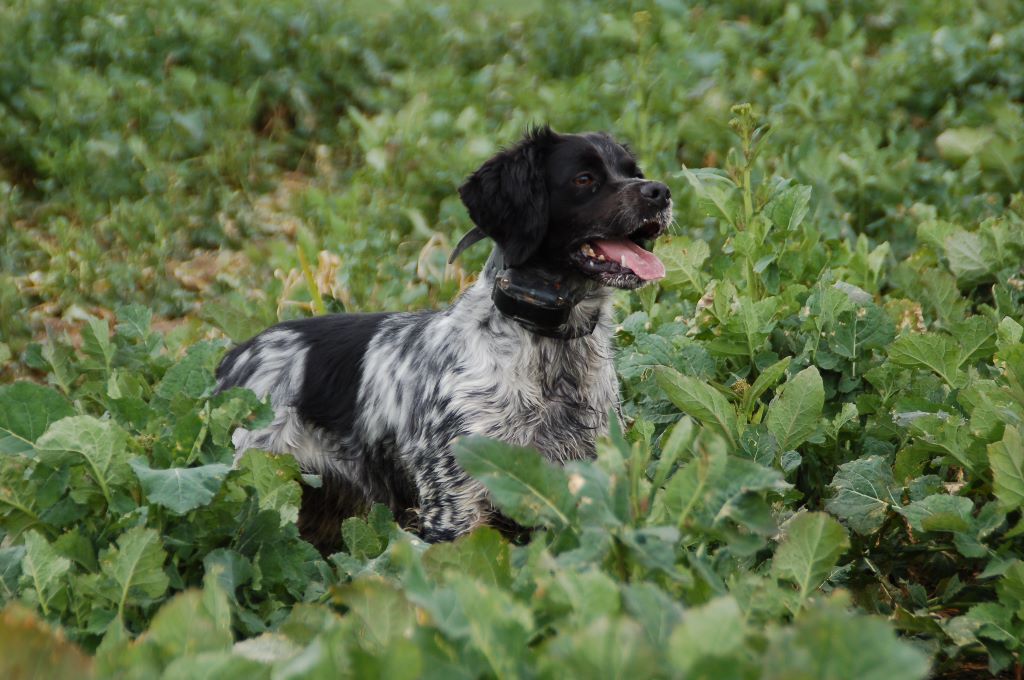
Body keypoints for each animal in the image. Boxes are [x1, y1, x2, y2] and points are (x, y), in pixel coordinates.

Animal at [214, 125, 671, 548]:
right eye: (584, 178)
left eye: (633, 171)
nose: (660, 192)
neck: (549, 350)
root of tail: (235, 356)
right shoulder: (454, 504)